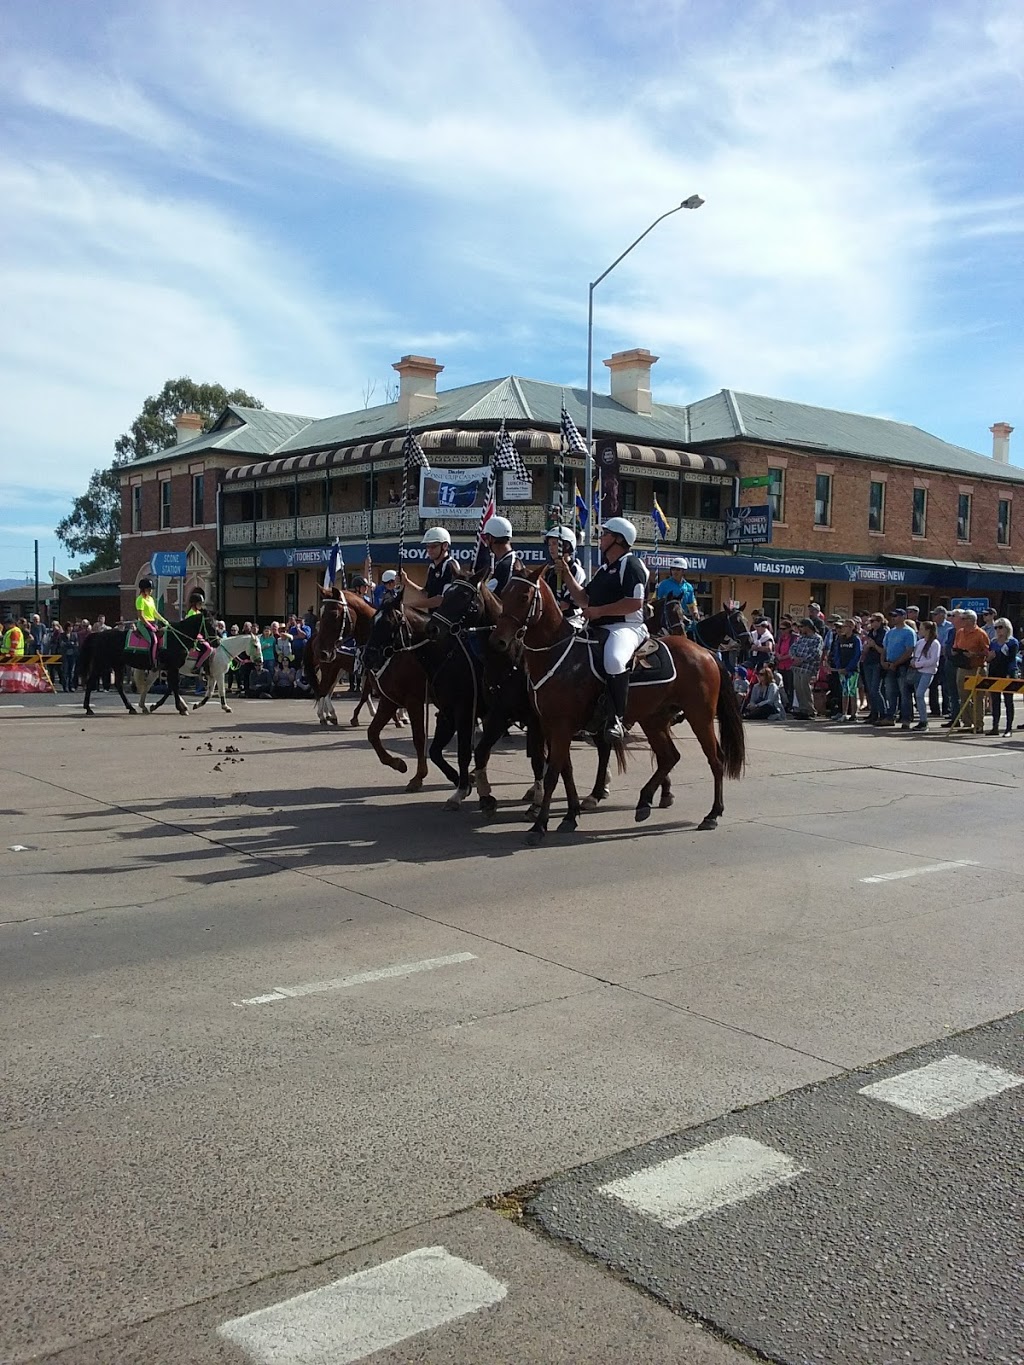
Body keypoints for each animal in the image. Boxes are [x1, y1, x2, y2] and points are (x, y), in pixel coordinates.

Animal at [81, 614, 215, 720]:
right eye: (210, 624)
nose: (217, 642)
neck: (176, 639)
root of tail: (98, 635)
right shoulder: (173, 667)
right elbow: (174, 687)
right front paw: (181, 708)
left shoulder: (170, 668)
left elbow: (171, 687)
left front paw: (158, 706)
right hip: (101, 664)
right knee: (90, 682)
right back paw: (88, 708)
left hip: (118, 665)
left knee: (120, 685)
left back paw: (131, 707)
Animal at [307, 592, 382, 731]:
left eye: (334, 614)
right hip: (329, 669)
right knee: (323, 690)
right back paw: (325, 715)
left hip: (337, 670)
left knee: (327, 691)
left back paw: (329, 715)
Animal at [365, 592, 486, 802]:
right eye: (372, 622)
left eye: (389, 623)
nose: (367, 657)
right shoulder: (390, 701)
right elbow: (372, 733)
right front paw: (397, 763)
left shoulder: (413, 701)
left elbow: (419, 738)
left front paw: (418, 777)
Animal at [488, 573, 748, 840]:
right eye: (504, 594)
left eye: (524, 596)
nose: (499, 640)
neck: (559, 655)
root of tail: (705, 653)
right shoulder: (551, 725)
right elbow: (565, 770)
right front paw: (570, 815)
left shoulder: (561, 726)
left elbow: (554, 773)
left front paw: (540, 825)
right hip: (653, 720)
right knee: (669, 757)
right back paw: (644, 801)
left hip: (700, 717)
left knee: (716, 760)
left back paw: (712, 813)